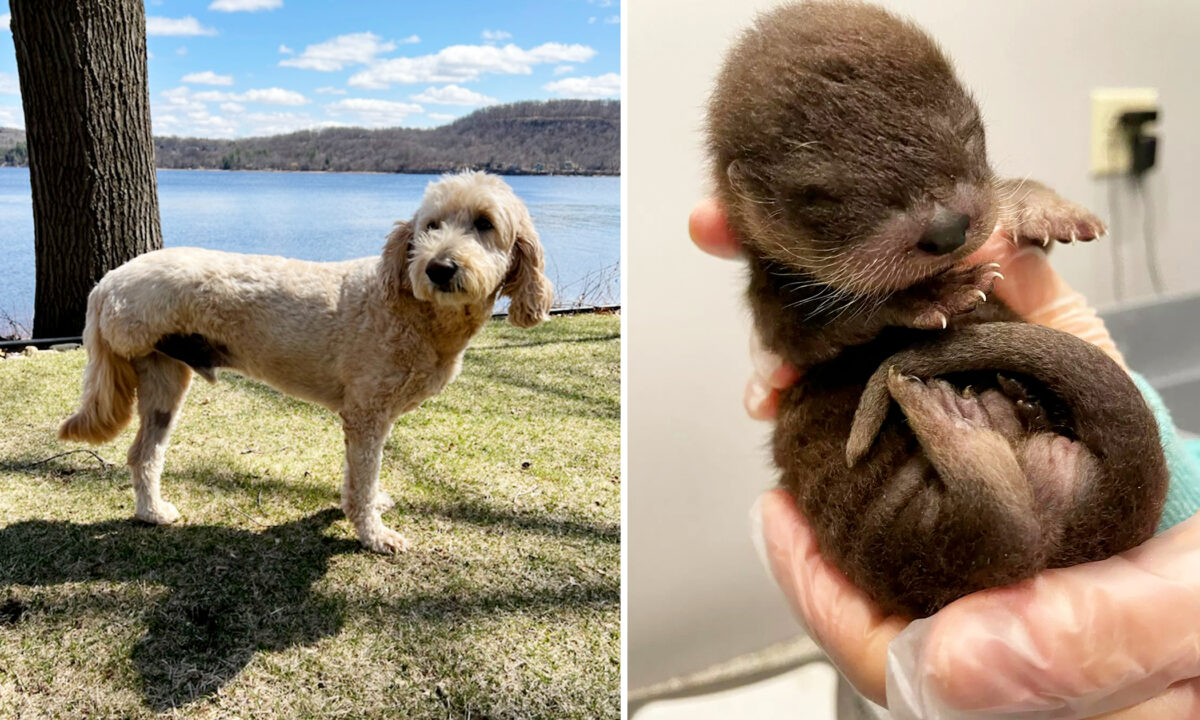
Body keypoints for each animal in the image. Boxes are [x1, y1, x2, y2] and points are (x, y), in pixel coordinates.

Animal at [58, 171, 554, 554]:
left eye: (485, 224)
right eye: (431, 225)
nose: (439, 267)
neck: (411, 307)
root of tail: (106, 282)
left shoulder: (366, 417)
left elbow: (359, 478)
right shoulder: (367, 414)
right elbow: (363, 479)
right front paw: (373, 534)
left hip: (165, 381)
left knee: (143, 454)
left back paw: (151, 512)